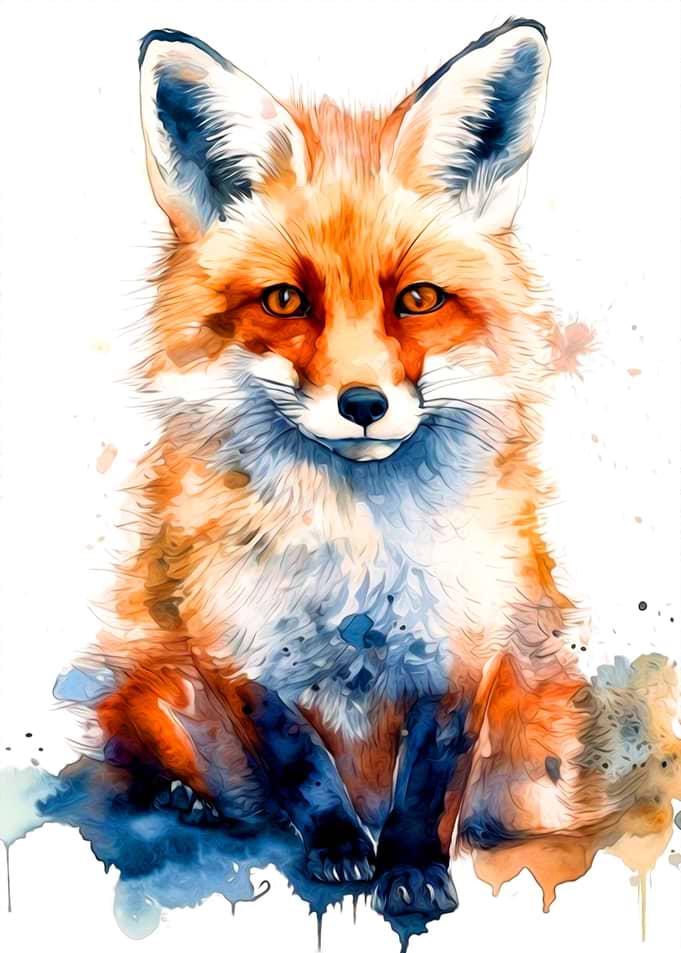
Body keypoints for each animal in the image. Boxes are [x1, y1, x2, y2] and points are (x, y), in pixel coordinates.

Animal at [62, 16, 680, 931]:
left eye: (416, 299)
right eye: (285, 301)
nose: (363, 404)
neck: (354, 553)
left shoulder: (462, 645)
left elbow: (428, 781)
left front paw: (412, 868)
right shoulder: (242, 650)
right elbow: (300, 765)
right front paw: (338, 849)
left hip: (535, 753)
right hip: (160, 689)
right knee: (140, 746)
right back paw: (189, 794)